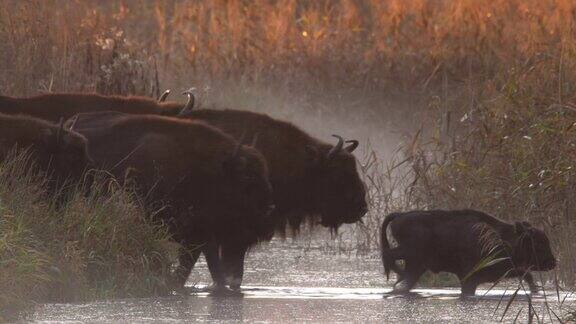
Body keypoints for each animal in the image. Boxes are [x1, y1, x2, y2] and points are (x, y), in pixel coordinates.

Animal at [380, 210, 556, 296]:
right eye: (537, 243)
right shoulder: (469, 280)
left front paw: (536, 291)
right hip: (411, 254)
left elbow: (527, 275)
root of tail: (400, 215)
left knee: (405, 276)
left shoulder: (506, 270)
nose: (552, 262)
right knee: (388, 255)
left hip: (416, 264)